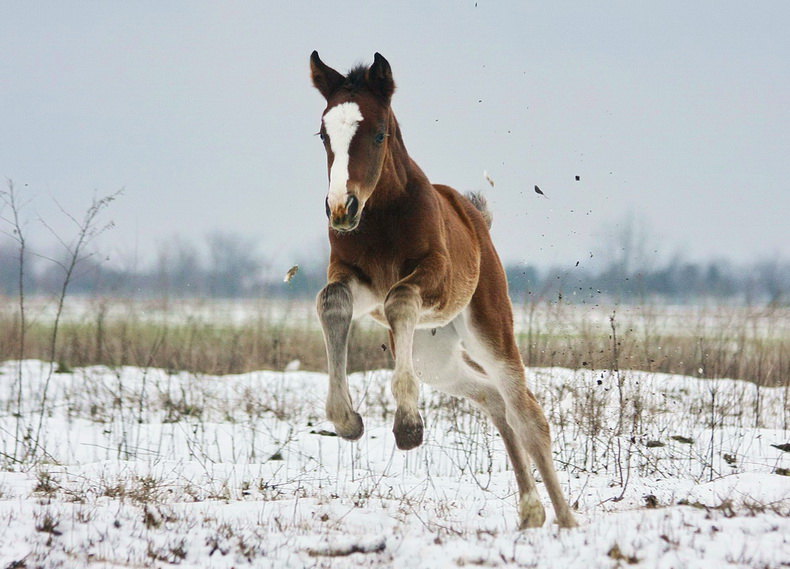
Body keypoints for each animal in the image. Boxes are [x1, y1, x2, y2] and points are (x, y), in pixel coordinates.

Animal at [312, 53, 580, 528]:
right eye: (324, 134)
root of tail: (478, 220)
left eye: (378, 133)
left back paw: (566, 521)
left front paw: (408, 427)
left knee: (527, 415)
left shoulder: (431, 276)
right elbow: (331, 302)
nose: (342, 209)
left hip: (488, 328)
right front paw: (346, 420)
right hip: (433, 355)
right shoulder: (355, 279)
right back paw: (530, 511)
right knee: (493, 400)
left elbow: (401, 299)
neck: (381, 218)